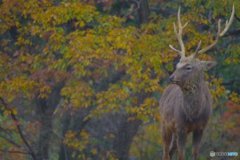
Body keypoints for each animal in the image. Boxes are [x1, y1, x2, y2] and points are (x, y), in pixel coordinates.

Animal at [159, 5, 234, 159]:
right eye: (177, 64)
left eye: (188, 67)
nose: (171, 77)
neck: (193, 115)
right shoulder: (180, 126)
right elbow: (181, 155)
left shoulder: (201, 127)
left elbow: (195, 153)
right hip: (164, 123)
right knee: (165, 152)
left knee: (170, 151)